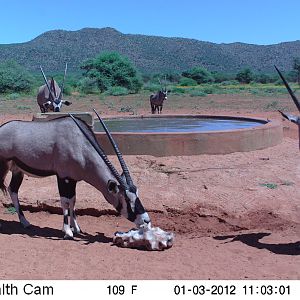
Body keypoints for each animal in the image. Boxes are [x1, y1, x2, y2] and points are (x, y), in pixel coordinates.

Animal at [0, 109, 150, 238]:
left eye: (137, 194)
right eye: (126, 199)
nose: (146, 221)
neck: (80, 144)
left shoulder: (72, 179)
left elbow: (72, 200)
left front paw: (76, 228)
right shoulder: (63, 177)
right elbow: (64, 201)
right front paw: (67, 231)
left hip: (18, 171)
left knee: (13, 190)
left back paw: (25, 222)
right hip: (3, 167)